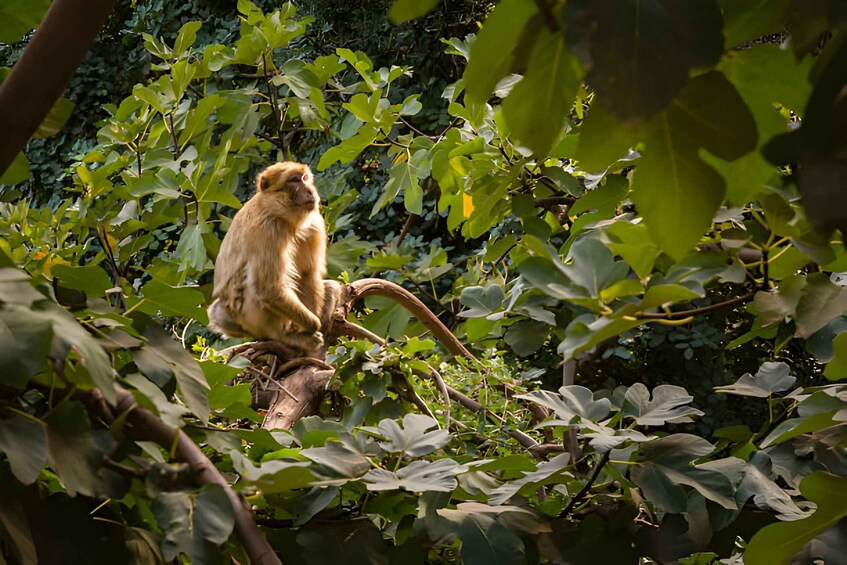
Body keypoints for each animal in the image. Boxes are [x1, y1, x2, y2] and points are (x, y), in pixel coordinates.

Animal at [208, 161, 328, 350]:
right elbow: (269, 288)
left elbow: (308, 274)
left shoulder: (314, 224)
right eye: (294, 180)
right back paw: (287, 336)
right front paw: (312, 326)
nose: (310, 190)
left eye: (305, 178)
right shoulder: (266, 231)